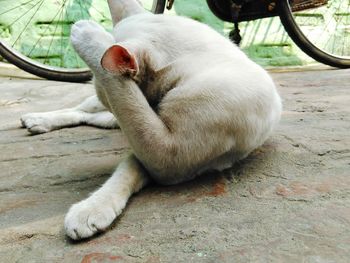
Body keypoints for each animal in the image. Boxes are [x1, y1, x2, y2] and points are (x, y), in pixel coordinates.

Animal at [20, 0, 282, 241]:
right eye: (104, 97)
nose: (109, 108)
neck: (201, 62)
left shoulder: (165, 156)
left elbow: (126, 109)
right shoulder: (154, 147)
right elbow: (126, 162)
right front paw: (95, 206)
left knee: (94, 117)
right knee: (82, 110)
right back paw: (38, 118)